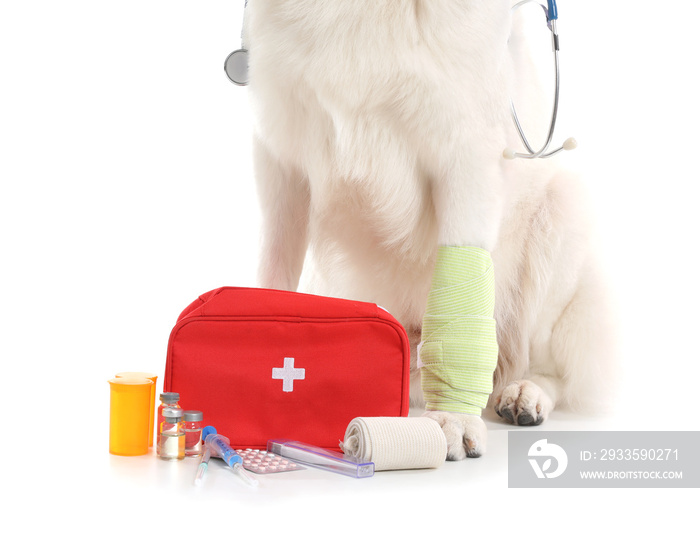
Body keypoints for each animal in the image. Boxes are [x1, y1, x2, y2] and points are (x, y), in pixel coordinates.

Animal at [243, 2, 616, 456]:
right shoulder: (279, 160)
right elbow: (273, 271)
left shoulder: (467, 162)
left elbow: (458, 298)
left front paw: (453, 417)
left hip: (562, 212)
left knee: (544, 364)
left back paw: (524, 391)